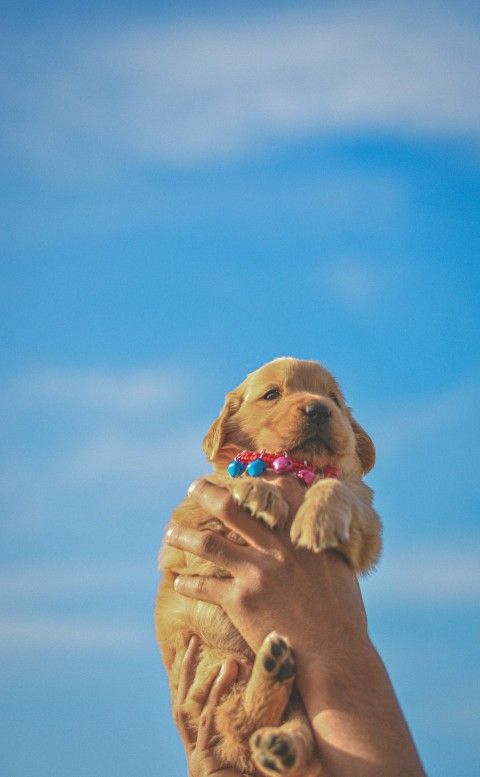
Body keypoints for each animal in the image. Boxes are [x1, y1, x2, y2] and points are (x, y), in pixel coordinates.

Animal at [157, 358, 382, 776]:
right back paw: (274, 675)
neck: (296, 468)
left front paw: (317, 519)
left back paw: (280, 736)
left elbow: (337, 487)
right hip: (216, 662)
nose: (319, 409)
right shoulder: (195, 520)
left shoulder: (368, 528)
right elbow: (239, 476)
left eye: (333, 399)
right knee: (238, 721)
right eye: (272, 394)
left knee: (269, 733)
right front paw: (260, 492)